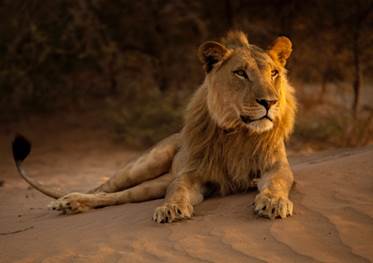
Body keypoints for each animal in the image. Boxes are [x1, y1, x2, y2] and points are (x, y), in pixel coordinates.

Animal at [12, 31, 296, 225]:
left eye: (274, 73)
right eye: (240, 73)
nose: (269, 102)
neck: (239, 132)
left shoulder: (277, 166)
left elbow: (277, 182)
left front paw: (273, 203)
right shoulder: (189, 175)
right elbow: (177, 191)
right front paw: (170, 209)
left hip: (152, 186)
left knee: (119, 197)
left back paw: (73, 205)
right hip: (146, 164)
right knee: (105, 189)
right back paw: (66, 201)